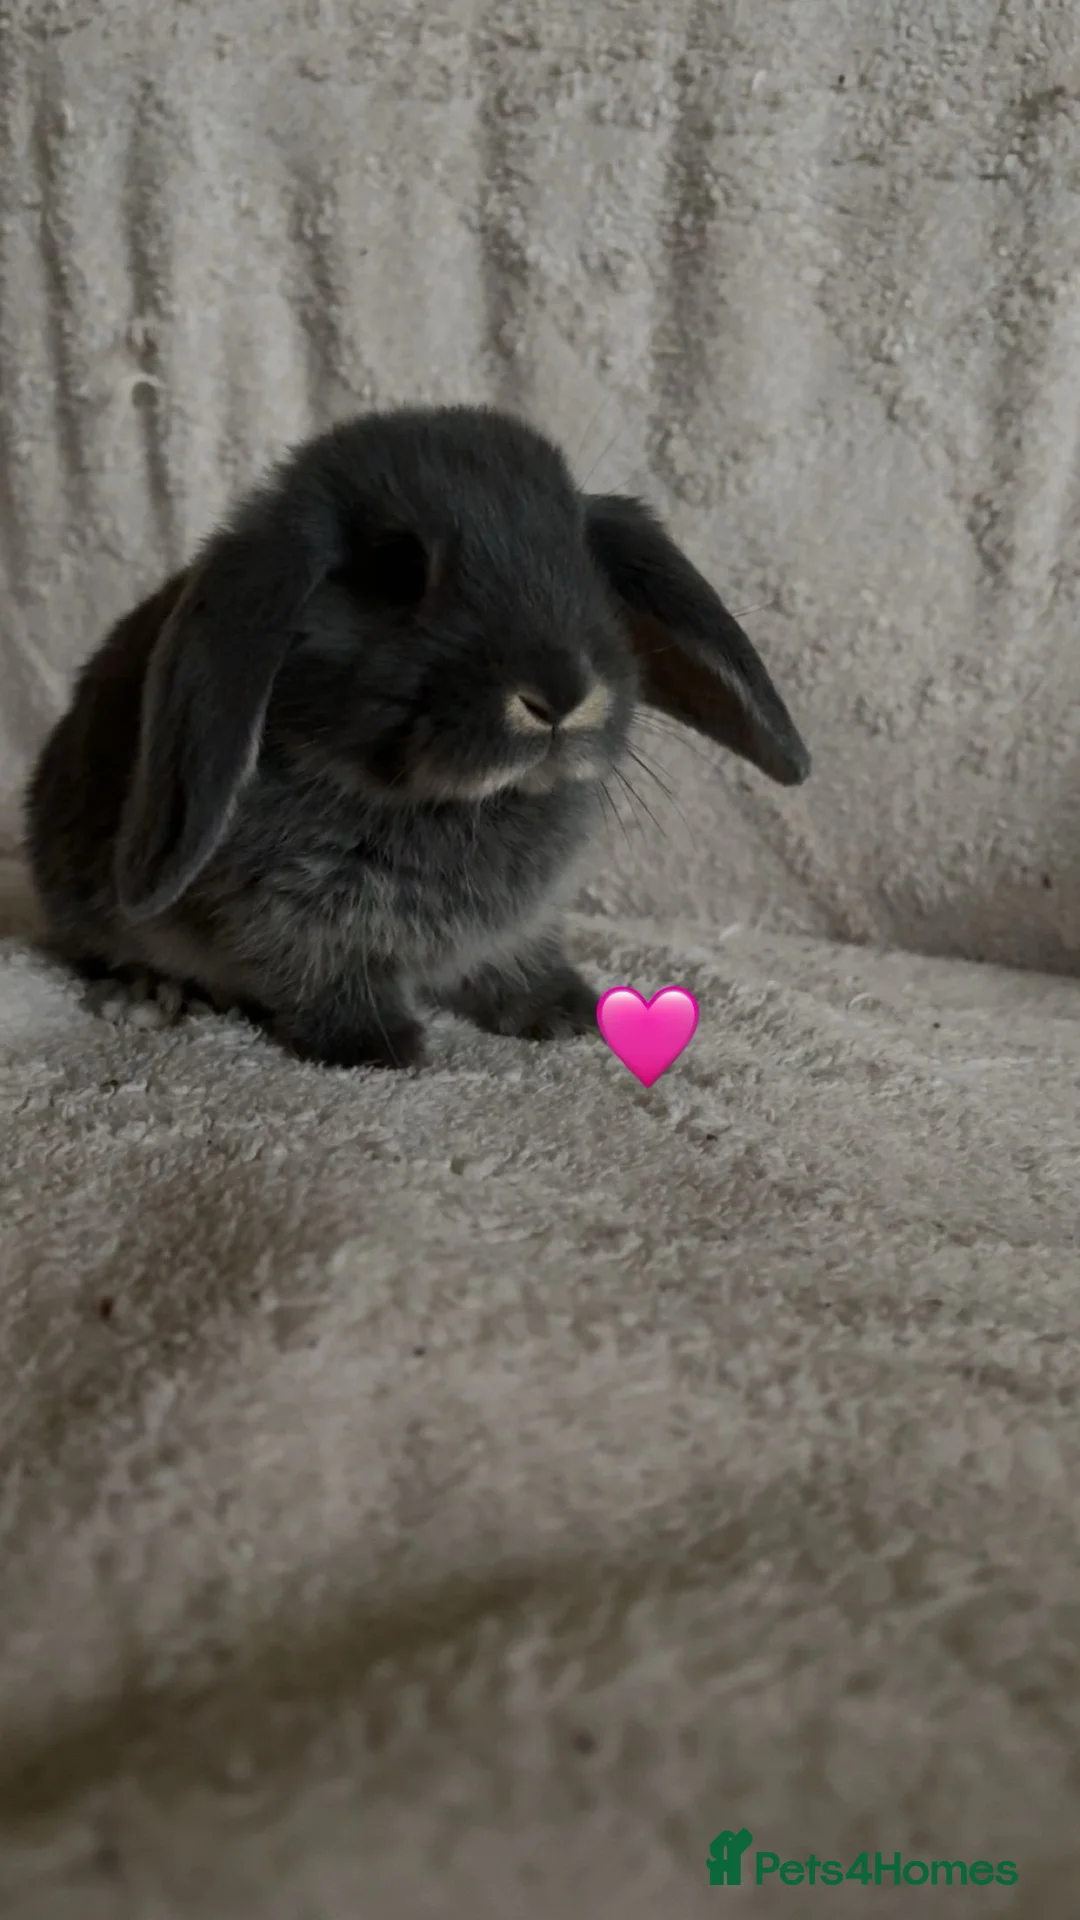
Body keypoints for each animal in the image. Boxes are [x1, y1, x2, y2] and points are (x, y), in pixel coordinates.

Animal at [25, 404, 810, 1070]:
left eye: (582, 557)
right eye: (394, 568)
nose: (560, 693)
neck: (450, 803)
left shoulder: (517, 926)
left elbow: (515, 963)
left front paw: (567, 1012)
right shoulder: (289, 916)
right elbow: (320, 974)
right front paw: (378, 1046)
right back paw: (151, 996)